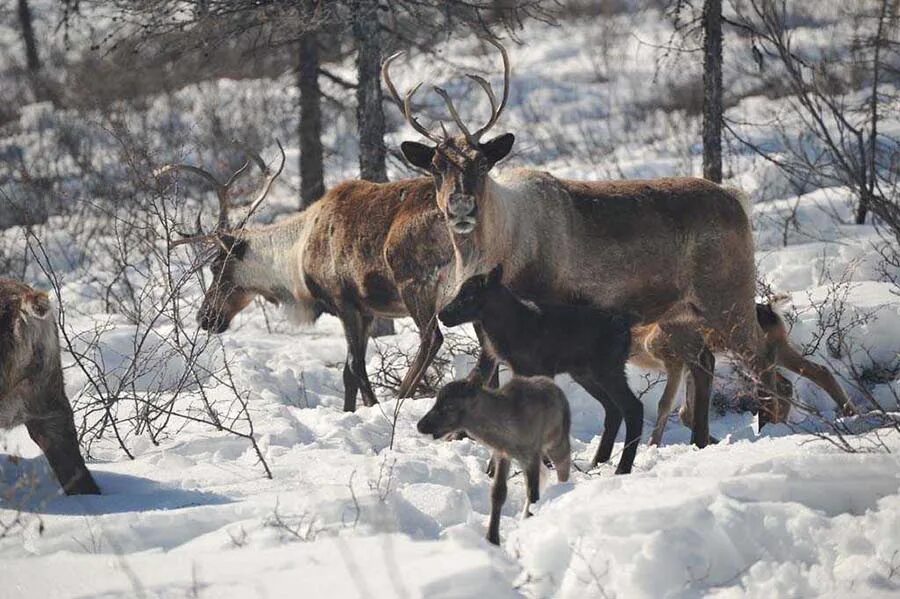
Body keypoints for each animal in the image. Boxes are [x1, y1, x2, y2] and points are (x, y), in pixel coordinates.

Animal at [420, 378, 572, 548]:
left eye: (450, 406)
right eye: (436, 401)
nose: (420, 425)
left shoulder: (532, 450)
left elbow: (533, 493)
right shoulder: (503, 454)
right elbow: (498, 493)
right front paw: (492, 538)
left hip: (557, 439)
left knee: (564, 466)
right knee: (545, 471)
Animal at [442, 264, 640, 476]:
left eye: (469, 295)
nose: (442, 314)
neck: (506, 330)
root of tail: (627, 329)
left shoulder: (542, 367)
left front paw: (543, 463)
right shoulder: (507, 363)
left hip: (608, 368)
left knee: (633, 407)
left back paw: (622, 468)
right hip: (585, 373)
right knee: (613, 409)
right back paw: (597, 462)